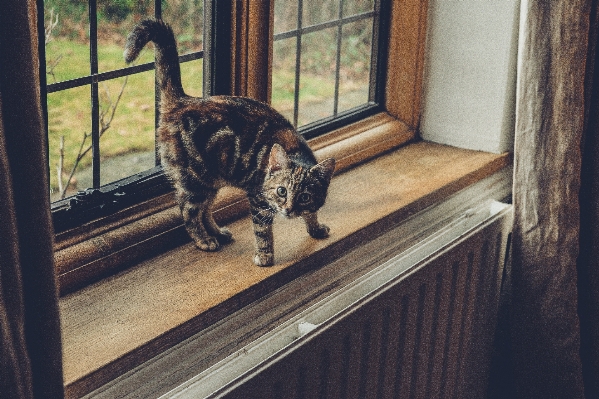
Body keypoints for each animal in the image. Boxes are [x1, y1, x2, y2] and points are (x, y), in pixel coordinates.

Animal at [124, 20, 336, 268]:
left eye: (304, 197)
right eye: (281, 191)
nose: (288, 209)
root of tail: (182, 101)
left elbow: (312, 213)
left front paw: (315, 227)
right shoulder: (258, 200)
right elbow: (263, 232)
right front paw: (265, 255)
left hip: (209, 181)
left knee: (204, 210)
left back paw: (216, 232)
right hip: (195, 181)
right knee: (188, 212)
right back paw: (204, 239)